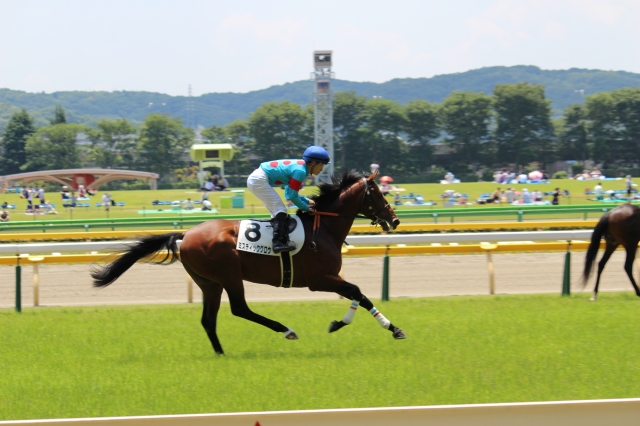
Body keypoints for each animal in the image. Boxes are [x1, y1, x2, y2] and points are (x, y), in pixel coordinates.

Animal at [91, 169, 405, 355]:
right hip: (229, 274)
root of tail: (187, 233)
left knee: (208, 319)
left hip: (209, 282)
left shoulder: (328, 278)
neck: (324, 228)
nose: (395, 220)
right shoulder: (320, 280)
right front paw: (350, 324)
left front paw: (389, 328)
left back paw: (221, 353)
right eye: (380, 193)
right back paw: (286, 330)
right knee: (239, 308)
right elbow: (357, 292)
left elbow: (358, 294)